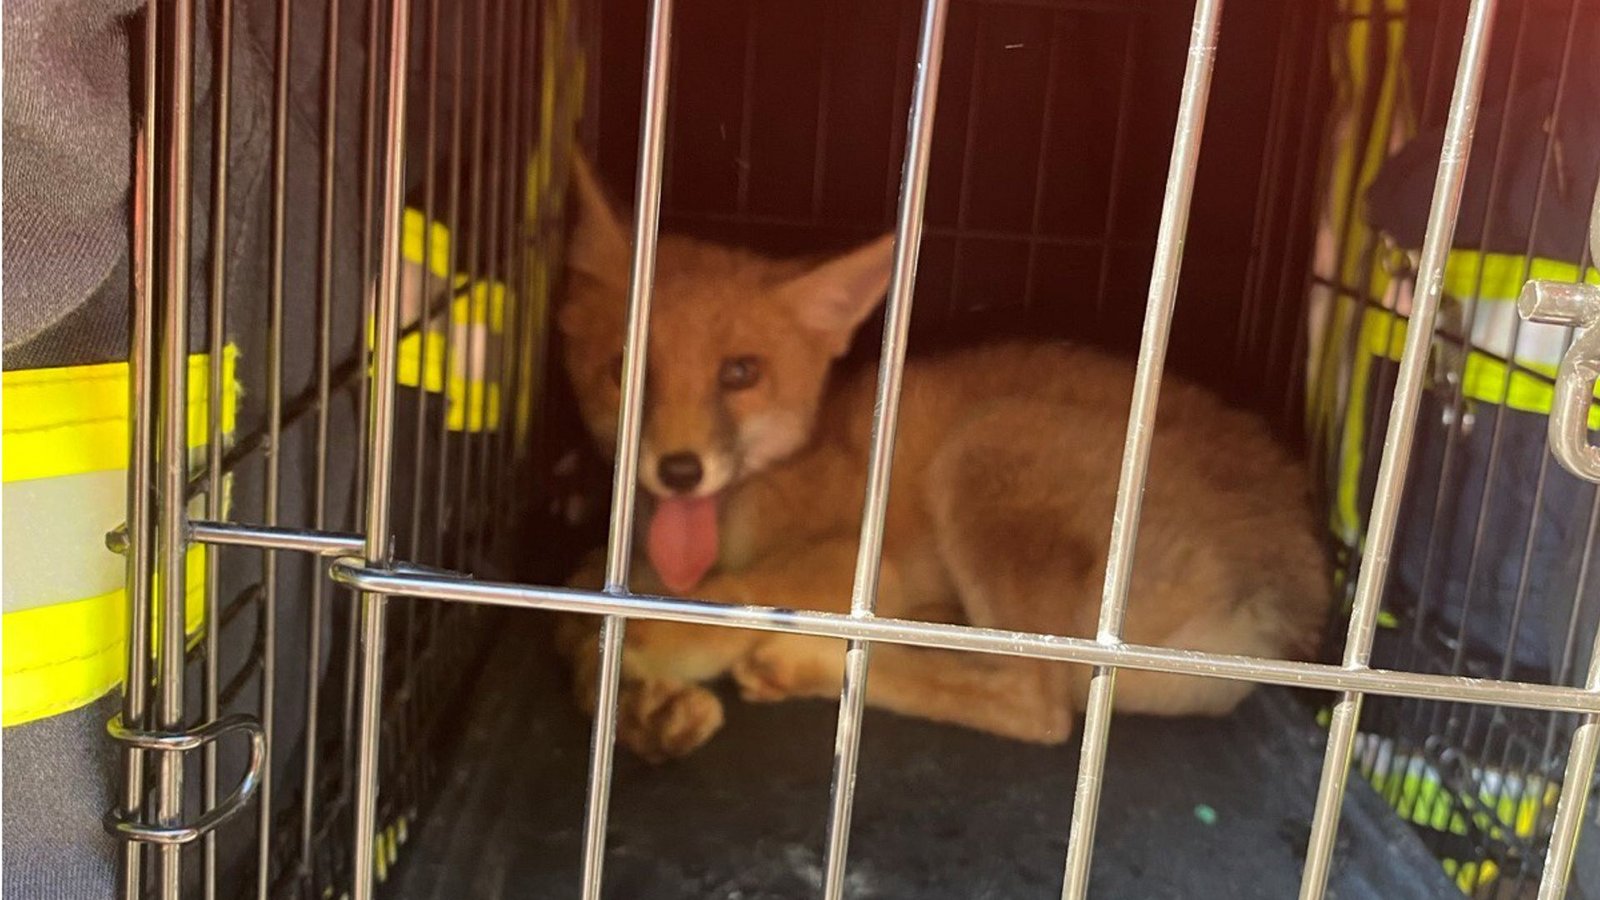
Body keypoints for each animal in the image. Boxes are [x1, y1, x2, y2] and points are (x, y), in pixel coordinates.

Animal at [553, 156, 1328, 763]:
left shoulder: (860, 561)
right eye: (624, 370)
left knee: (1039, 706)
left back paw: (808, 660)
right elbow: (580, 600)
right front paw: (636, 705)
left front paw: (645, 645)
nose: (679, 471)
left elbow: (723, 597)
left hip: (986, 447)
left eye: (740, 373)